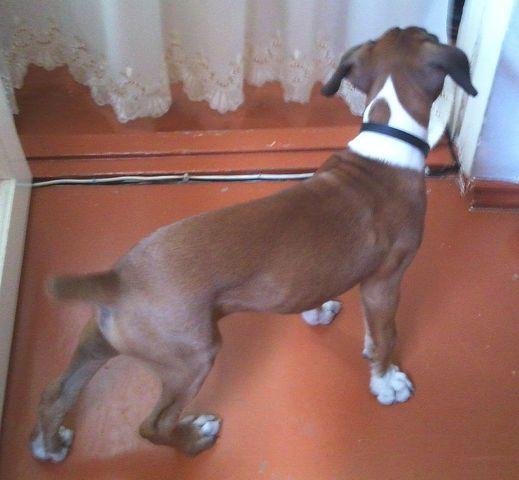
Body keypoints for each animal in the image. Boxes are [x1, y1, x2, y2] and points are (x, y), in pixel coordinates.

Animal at [30, 27, 477, 462]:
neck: (388, 131)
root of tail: (117, 280)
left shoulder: (363, 284)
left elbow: (362, 321)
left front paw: (336, 324)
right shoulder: (386, 280)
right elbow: (387, 335)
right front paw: (386, 381)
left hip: (98, 342)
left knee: (55, 392)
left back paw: (49, 445)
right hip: (191, 358)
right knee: (152, 426)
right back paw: (194, 438)